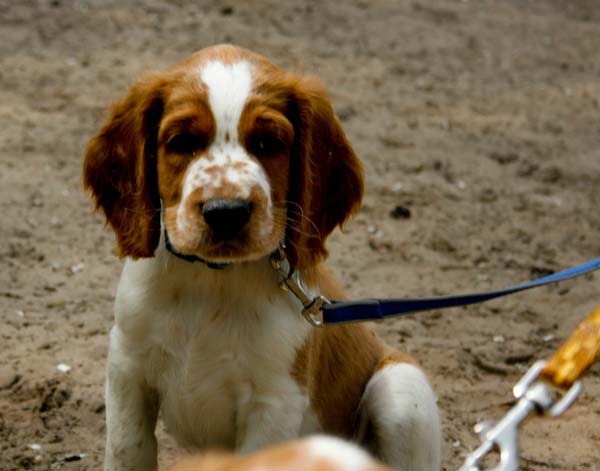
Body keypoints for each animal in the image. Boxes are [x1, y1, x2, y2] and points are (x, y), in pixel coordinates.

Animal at [84, 45, 440, 471]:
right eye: (181, 141)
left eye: (269, 143)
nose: (226, 212)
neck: (212, 280)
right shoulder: (127, 368)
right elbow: (128, 449)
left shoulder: (274, 401)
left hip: (401, 388)